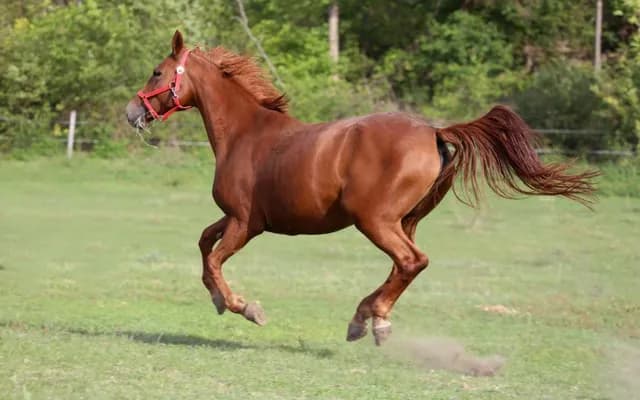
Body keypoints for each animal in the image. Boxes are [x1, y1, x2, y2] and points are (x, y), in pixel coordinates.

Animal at [126, 31, 597, 345]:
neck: (246, 133)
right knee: (404, 265)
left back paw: (372, 320)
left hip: (375, 220)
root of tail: (434, 132)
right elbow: (204, 243)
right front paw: (219, 301)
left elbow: (214, 260)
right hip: (403, 220)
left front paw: (245, 307)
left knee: (411, 261)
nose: (132, 112)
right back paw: (368, 318)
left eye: (157, 72)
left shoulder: (246, 223)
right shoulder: (237, 218)